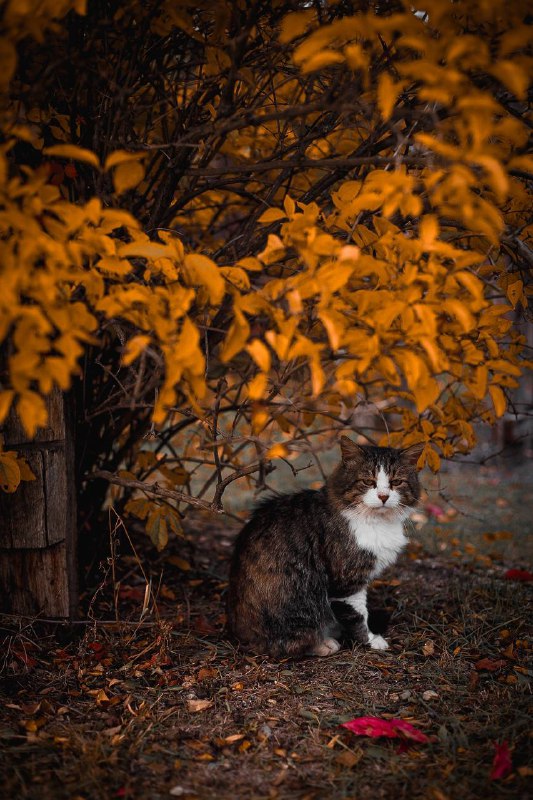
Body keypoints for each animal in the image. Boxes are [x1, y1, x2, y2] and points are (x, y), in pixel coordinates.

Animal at [227, 438, 422, 656]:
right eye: (367, 482)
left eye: (396, 482)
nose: (383, 496)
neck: (377, 522)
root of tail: (239, 636)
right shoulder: (347, 582)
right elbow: (358, 616)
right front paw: (371, 641)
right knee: (287, 645)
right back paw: (324, 643)